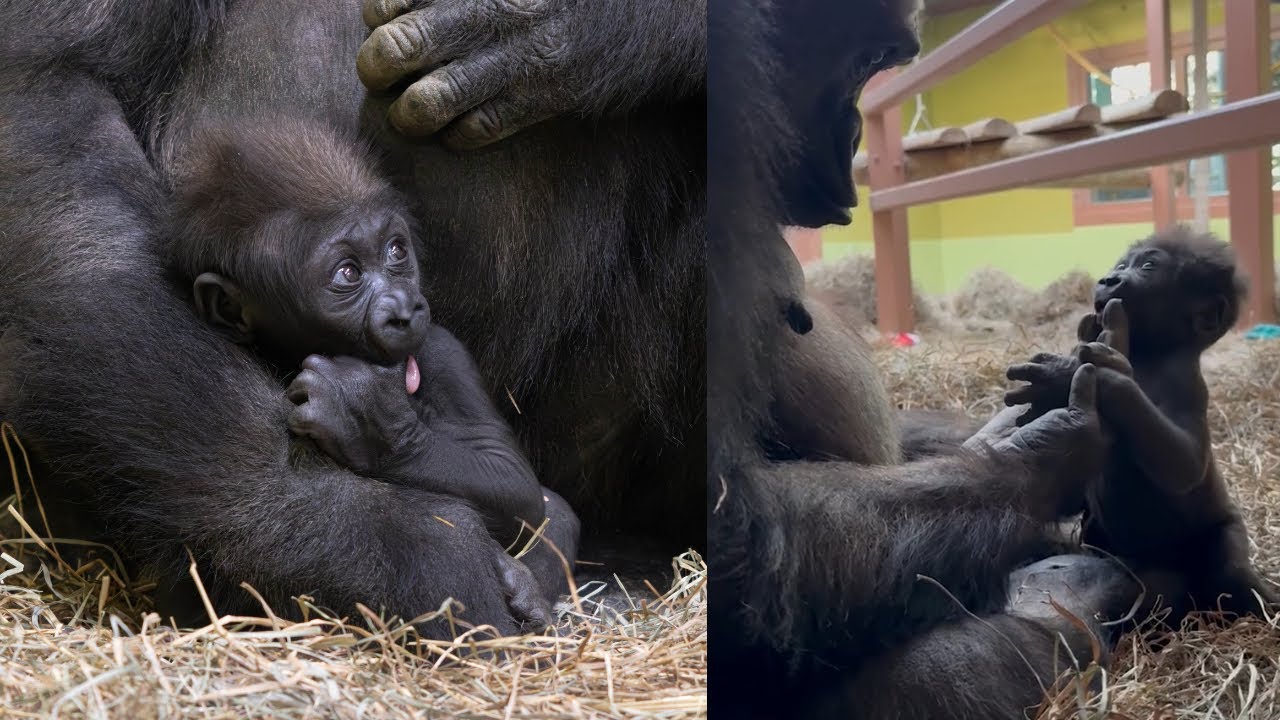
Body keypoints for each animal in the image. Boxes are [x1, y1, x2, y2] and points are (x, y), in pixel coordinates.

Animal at [1006, 226, 1276, 624]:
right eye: (1121, 265)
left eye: (1148, 267)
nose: (1109, 280)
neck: (1149, 352)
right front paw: (1059, 380)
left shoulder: (1184, 382)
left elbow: (1183, 464)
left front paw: (1106, 374)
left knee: (1230, 571)